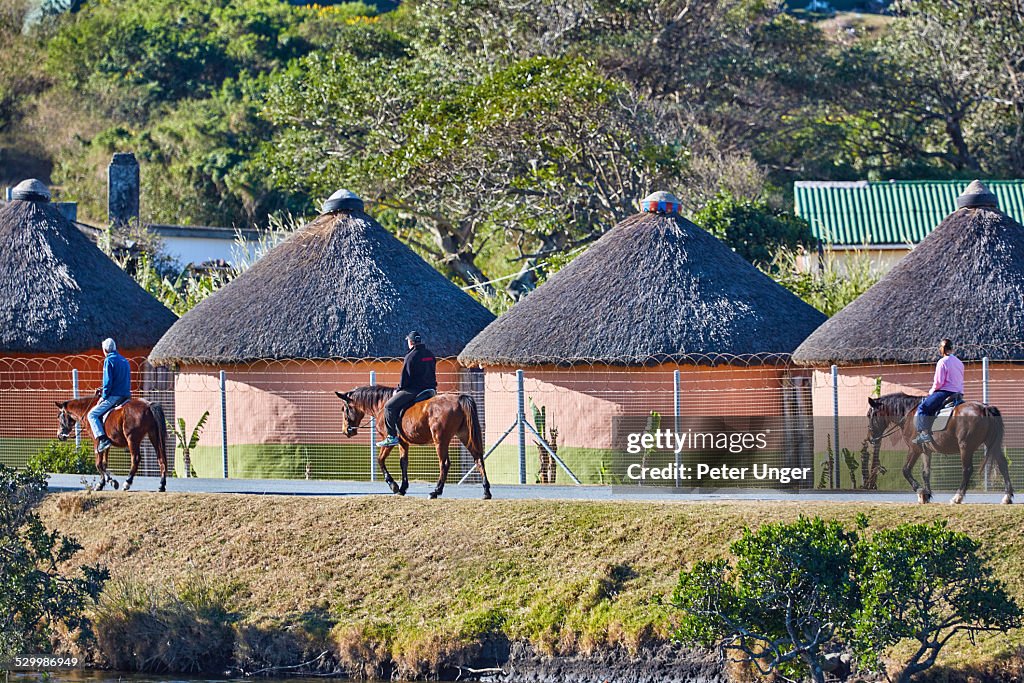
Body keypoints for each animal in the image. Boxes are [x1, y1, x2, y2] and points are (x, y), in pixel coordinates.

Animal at [333, 387, 489, 499]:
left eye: (344, 409)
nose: (345, 431)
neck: (382, 405)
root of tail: (459, 399)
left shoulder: (390, 442)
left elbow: (380, 460)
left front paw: (393, 485)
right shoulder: (403, 442)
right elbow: (403, 463)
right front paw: (402, 488)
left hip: (440, 440)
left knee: (444, 464)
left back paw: (436, 491)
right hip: (464, 436)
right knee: (478, 459)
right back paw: (486, 491)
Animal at [864, 393, 1015, 505]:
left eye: (869, 415)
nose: (870, 438)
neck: (909, 414)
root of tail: (984, 408)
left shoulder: (914, 449)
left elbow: (906, 470)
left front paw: (920, 492)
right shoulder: (926, 451)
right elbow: (925, 472)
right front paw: (927, 494)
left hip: (965, 447)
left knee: (967, 470)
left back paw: (957, 497)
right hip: (992, 445)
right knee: (1003, 464)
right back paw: (1007, 497)